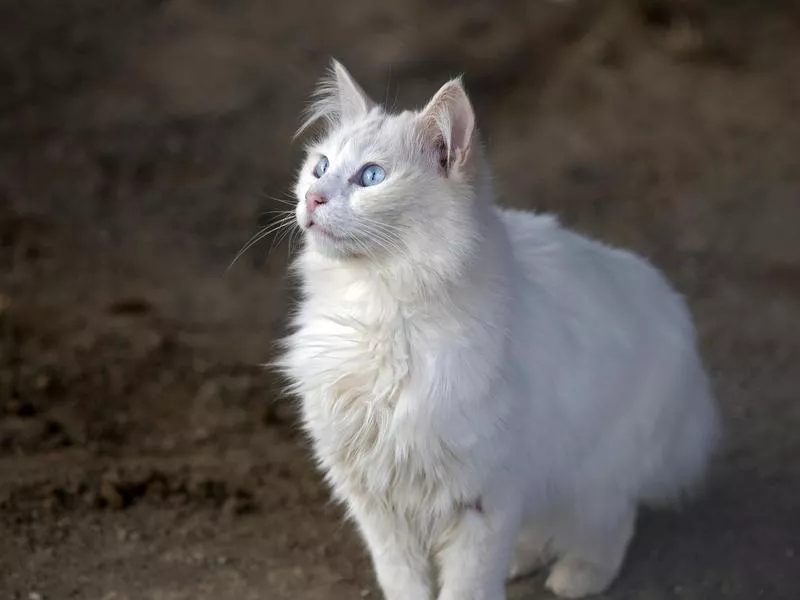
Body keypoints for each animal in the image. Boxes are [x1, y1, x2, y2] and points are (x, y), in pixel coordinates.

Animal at [276, 61, 720, 600]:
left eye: (372, 177)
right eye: (319, 167)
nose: (312, 198)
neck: (377, 310)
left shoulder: (483, 497)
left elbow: (466, 586)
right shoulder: (375, 498)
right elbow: (402, 580)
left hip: (593, 475)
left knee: (611, 525)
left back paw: (577, 577)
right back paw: (524, 562)